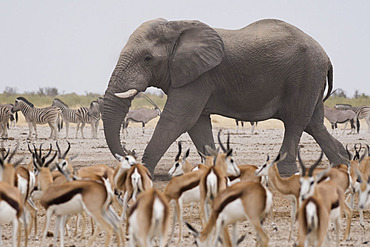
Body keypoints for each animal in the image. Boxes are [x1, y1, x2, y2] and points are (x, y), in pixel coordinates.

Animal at [102, 18, 350, 177]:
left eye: (148, 59)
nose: (129, 153)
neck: (177, 26)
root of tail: (327, 57)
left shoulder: (200, 77)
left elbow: (178, 119)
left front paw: (143, 171)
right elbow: (197, 124)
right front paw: (214, 169)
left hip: (305, 76)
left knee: (296, 121)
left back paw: (286, 172)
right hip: (311, 79)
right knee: (313, 123)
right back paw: (343, 162)